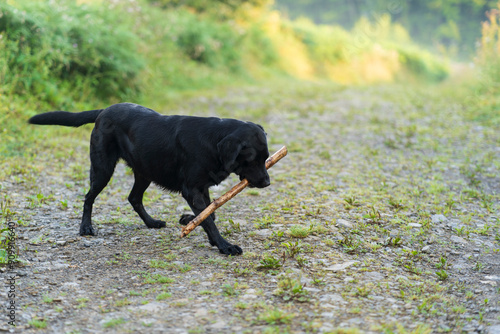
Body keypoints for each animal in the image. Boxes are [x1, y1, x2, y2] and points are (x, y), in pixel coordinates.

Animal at [28, 103, 270, 254]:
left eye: (266, 157)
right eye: (253, 159)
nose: (267, 183)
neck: (213, 142)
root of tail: (104, 110)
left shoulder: (202, 187)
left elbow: (210, 212)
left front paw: (189, 220)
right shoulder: (191, 189)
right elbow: (208, 219)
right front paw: (224, 246)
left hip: (145, 171)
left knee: (133, 198)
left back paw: (151, 222)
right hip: (103, 169)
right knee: (89, 197)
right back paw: (86, 227)